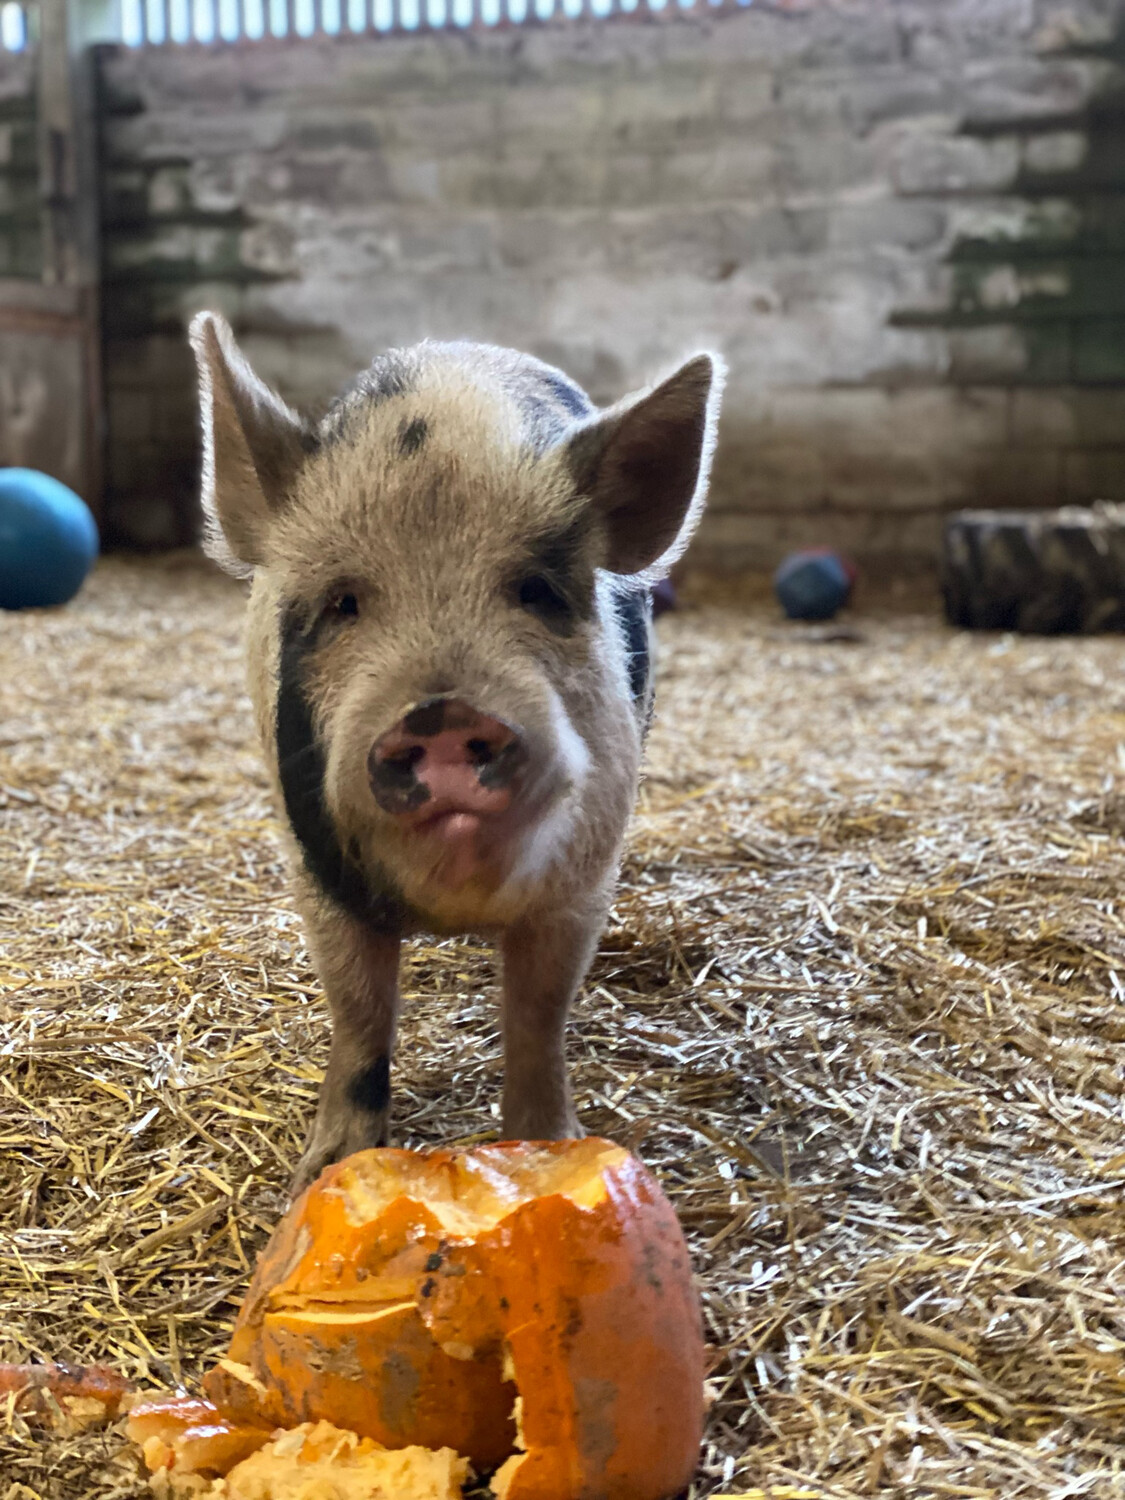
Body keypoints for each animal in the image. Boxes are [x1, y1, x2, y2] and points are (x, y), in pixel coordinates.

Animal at [189, 314, 724, 1193]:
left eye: (536, 591)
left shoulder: (580, 884)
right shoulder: (316, 874)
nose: (441, 711)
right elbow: (359, 1018)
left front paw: (550, 1148)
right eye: (343, 603)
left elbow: (538, 1021)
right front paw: (319, 1175)